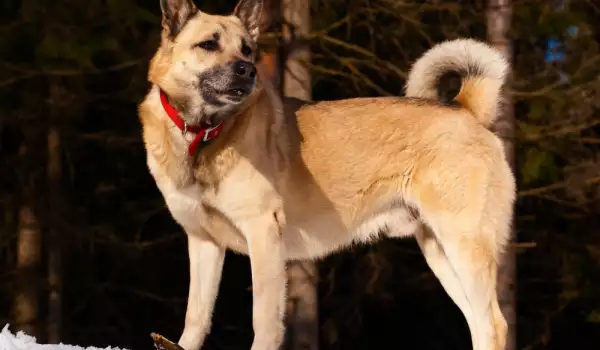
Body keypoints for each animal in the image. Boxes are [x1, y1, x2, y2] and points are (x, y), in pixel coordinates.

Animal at [138, 0, 512, 350]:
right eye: (208, 44)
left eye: (246, 49)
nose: (248, 70)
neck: (202, 135)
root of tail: (466, 109)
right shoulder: (203, 241)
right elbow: (196, 316)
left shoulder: (263, 232)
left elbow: (264, 321)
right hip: (438, 249)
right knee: (478, 323)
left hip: (464, 243)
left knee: (494, 324)